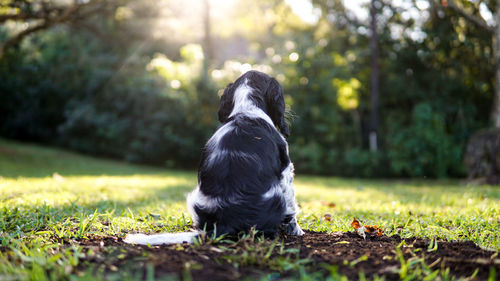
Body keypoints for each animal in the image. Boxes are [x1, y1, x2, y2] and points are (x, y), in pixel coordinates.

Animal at [127, 70, 302, 245]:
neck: (246, 111)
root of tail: (226, 224)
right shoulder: (286, 169)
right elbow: (292, 207)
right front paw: (297, 231)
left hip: (195, 199)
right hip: (277, 198)